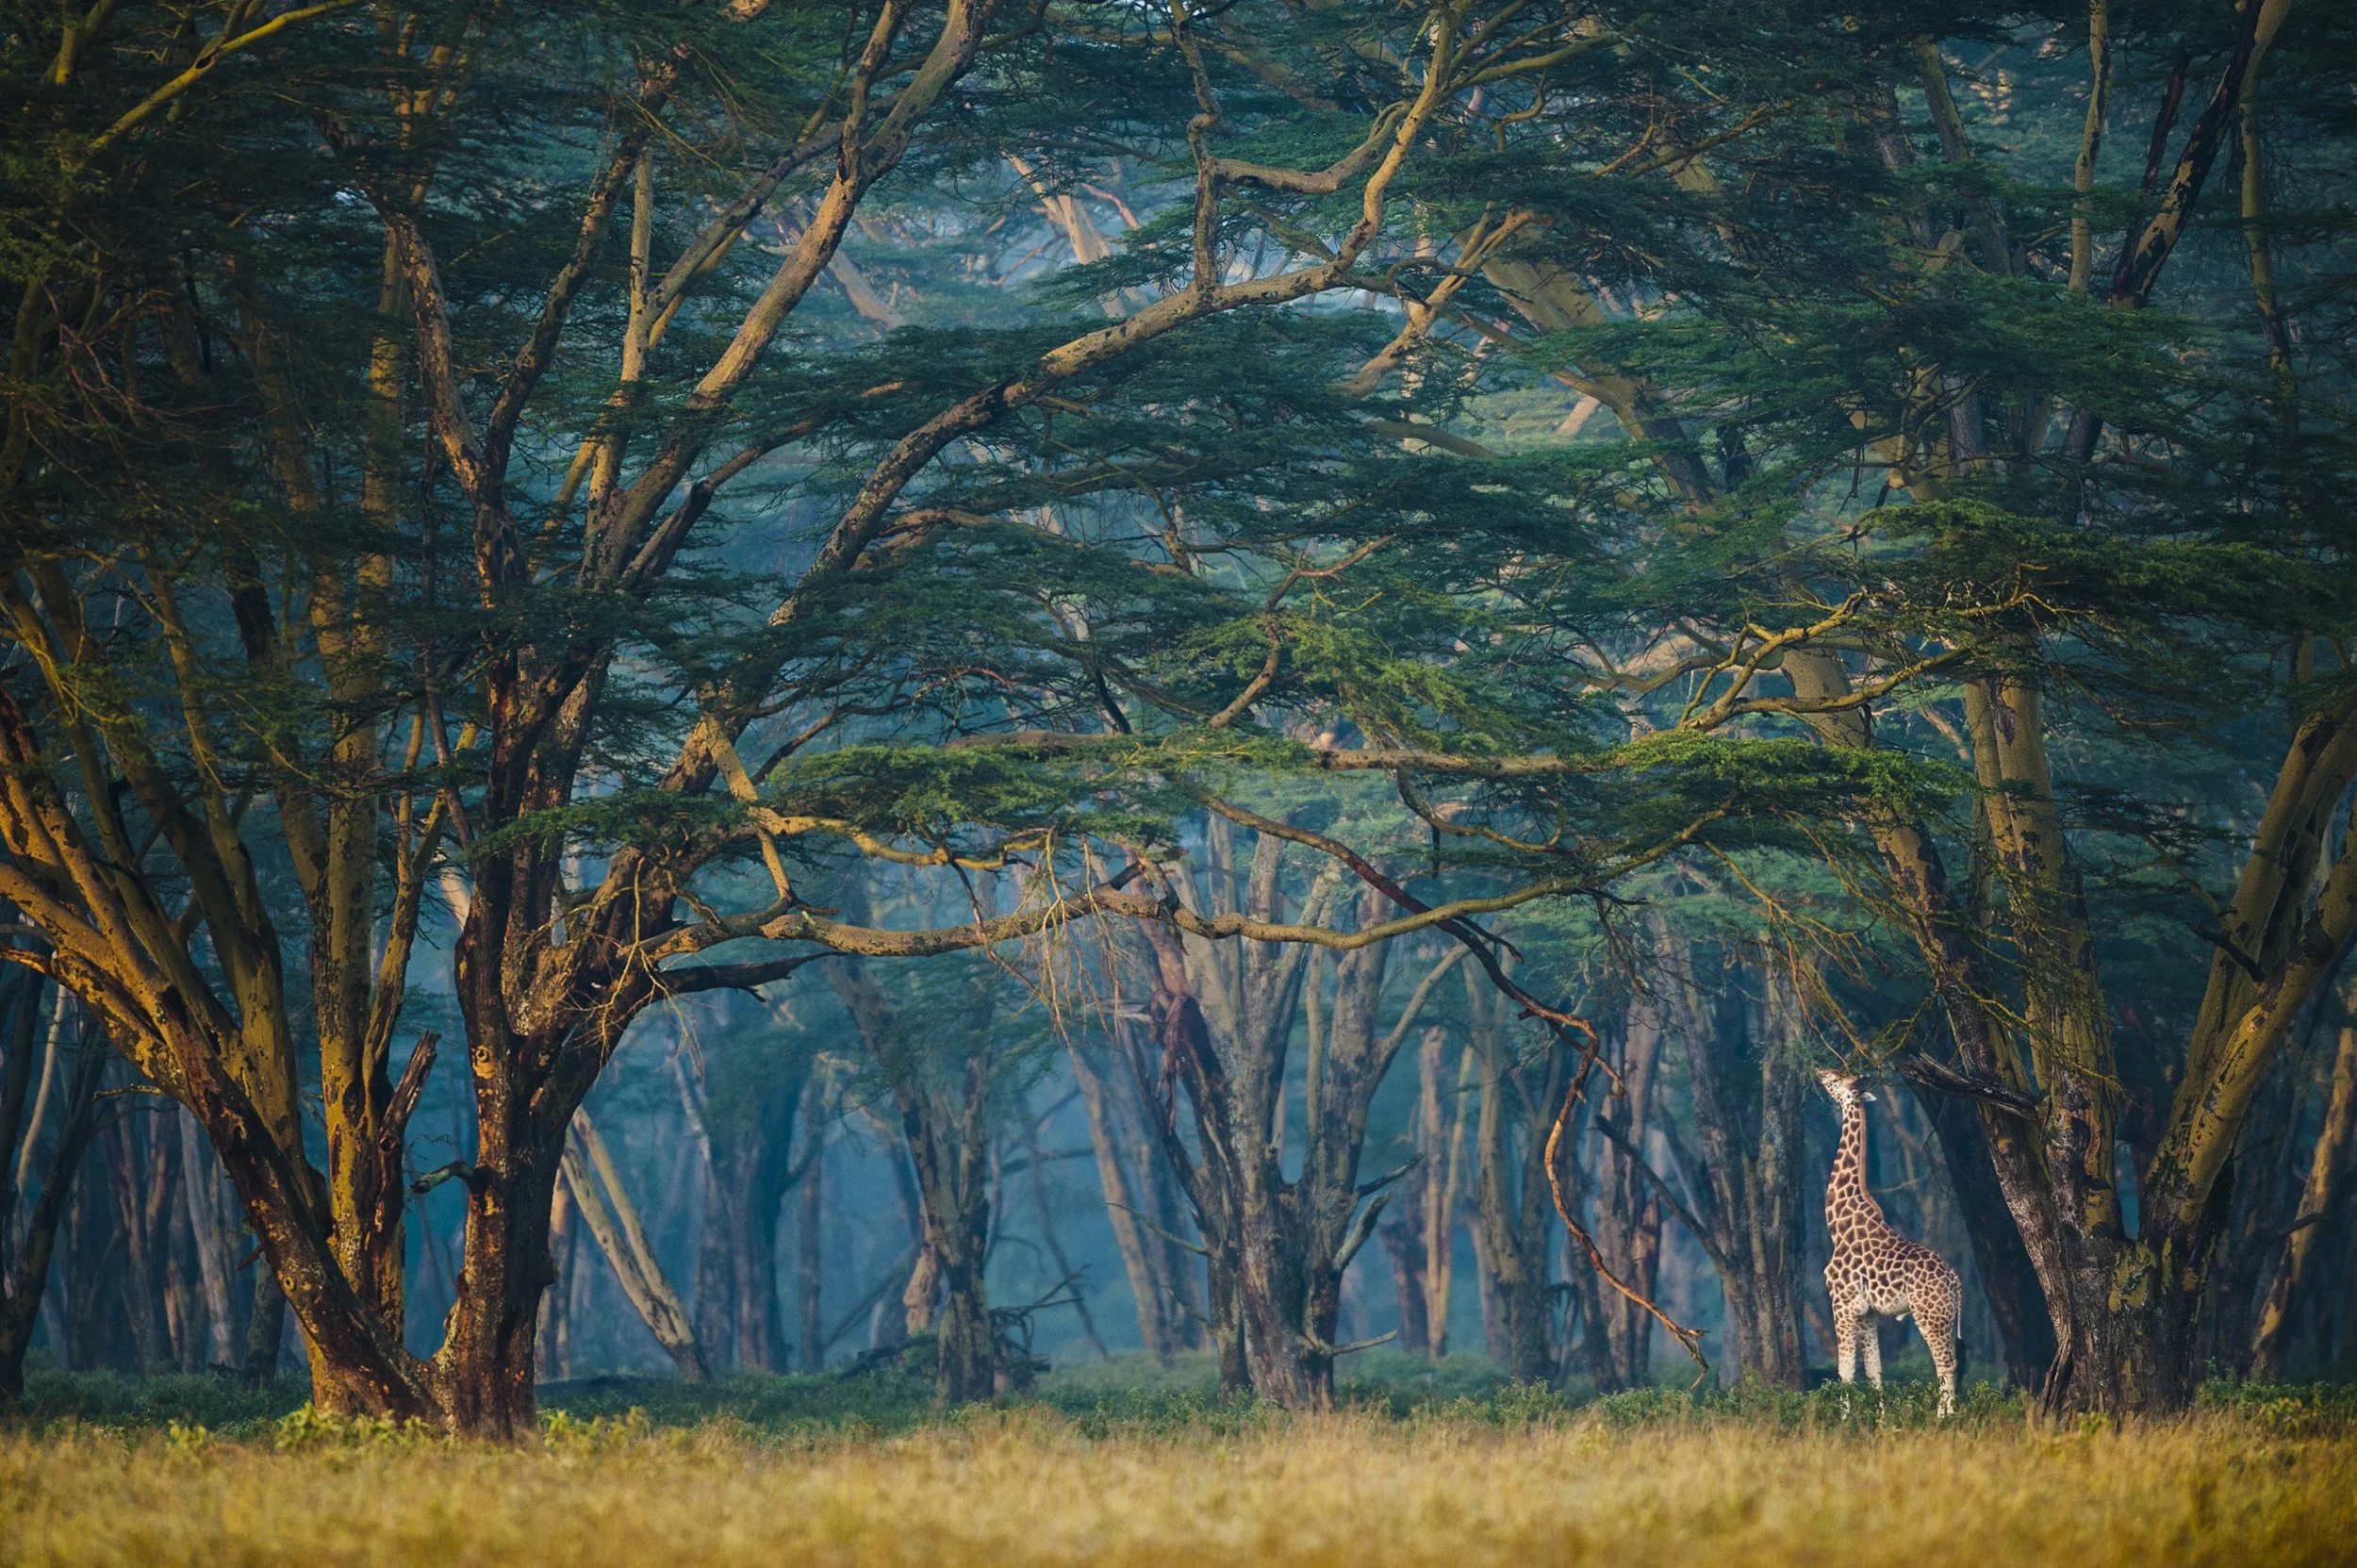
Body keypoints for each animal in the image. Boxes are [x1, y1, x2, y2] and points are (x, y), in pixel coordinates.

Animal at [1816, 1069, 1963, 1415]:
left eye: (1835, 1079)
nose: (1818, 1072)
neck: (1838, 1222)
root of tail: (1957, 1283)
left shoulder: (1841, 1302)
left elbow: (1845, 1369)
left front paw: (1845, 1419)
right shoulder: (1867, 1312)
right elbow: (1874, 1370)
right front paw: (1880, 1419)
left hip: (1928, 1315)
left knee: (1946, 1364)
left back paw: (1945, 1418)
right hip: (1947, 1317)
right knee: (1952, 1362)